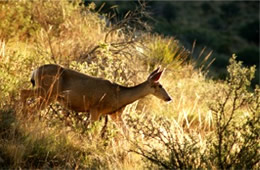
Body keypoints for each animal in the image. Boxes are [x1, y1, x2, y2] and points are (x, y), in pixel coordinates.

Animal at [19, 64, 171, 133]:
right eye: (160, 85)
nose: (169, 98)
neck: (120, 95)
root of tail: (35, 70)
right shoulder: (95, 109)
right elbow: (92, 129)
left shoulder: (115, 114)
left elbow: (128, 133)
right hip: (48, 92)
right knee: (26, 96)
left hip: (46, 93)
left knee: (26, 97)